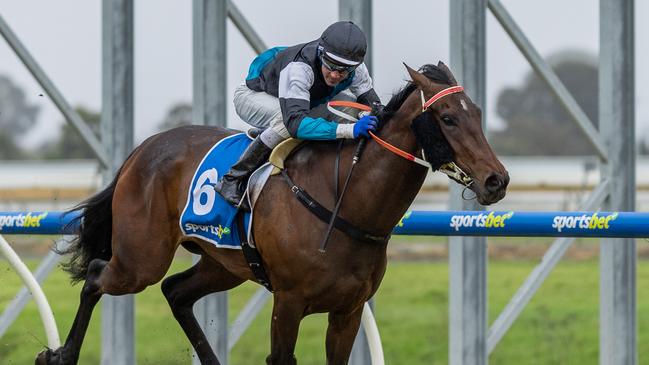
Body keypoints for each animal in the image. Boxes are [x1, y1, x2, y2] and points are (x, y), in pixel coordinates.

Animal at [35, 61, 508, 362]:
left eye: (477, 113)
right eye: (447, 117)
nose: (496, 181)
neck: (346, 201)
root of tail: (141, 150)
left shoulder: (348, 311)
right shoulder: (289, 302)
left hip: (224, 264)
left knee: (175, 292)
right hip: (140, 259)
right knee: (97, 276)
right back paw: (59, 355)